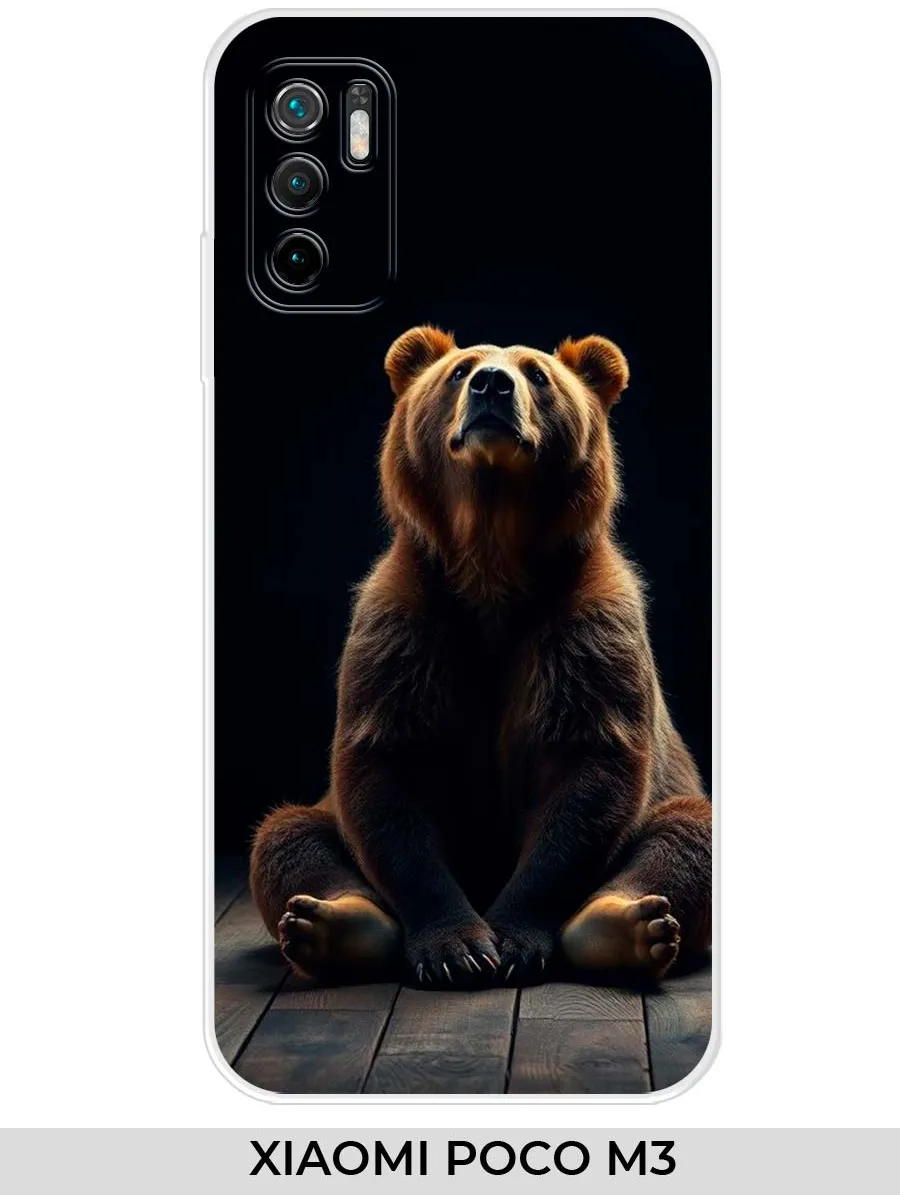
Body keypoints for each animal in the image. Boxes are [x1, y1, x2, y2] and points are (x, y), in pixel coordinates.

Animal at [249, 326, 712, 987]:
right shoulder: (403, 625)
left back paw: (624, 926)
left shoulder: (587, 627)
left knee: (689, 829)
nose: (492, 384)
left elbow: (590, 771)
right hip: (322, 813)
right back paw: (333, 923)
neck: (491, 560)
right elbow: (385, 769)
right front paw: (457, 947)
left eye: (538, 374)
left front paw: (513, 939)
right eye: (460, 369)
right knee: (285, 833)